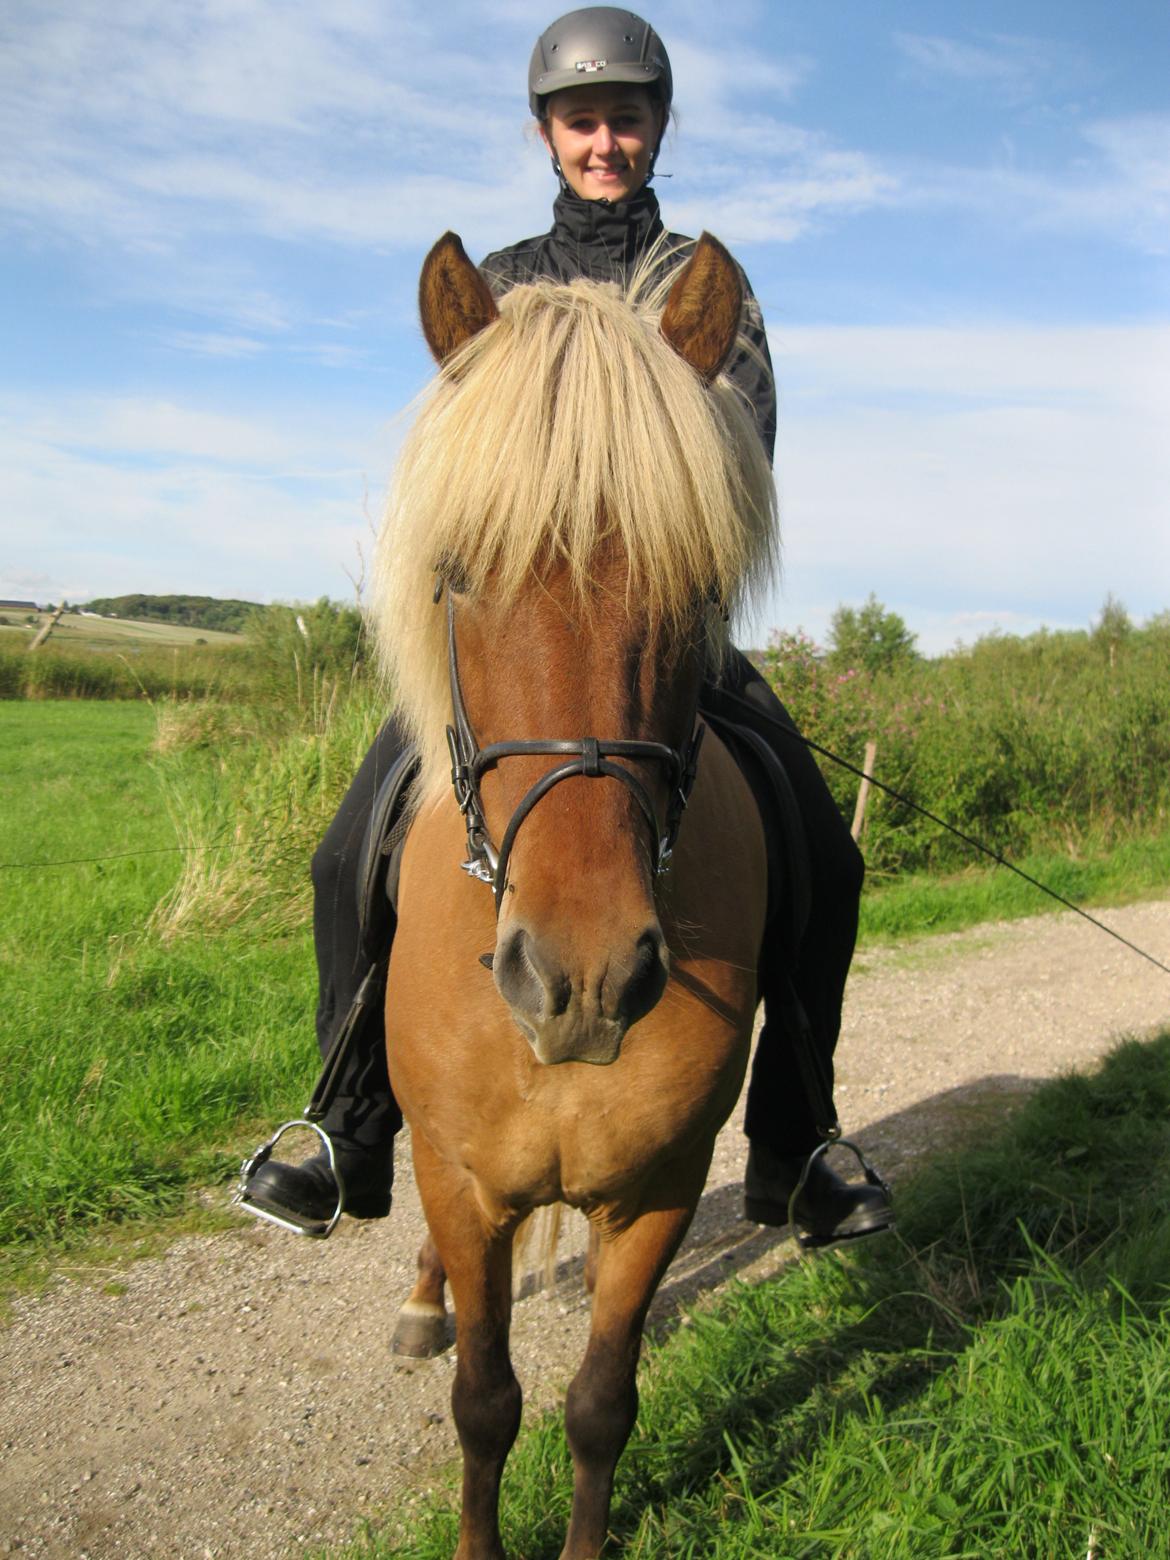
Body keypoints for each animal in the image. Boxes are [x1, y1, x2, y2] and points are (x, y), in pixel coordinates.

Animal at [375, 230, 780, 1560]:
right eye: (456, 576)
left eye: (699, 587)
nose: (582, 975)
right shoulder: (462, 1188)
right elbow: (485, 1402)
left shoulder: (661, 1189)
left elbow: (601, 1403)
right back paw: (421, 1304)